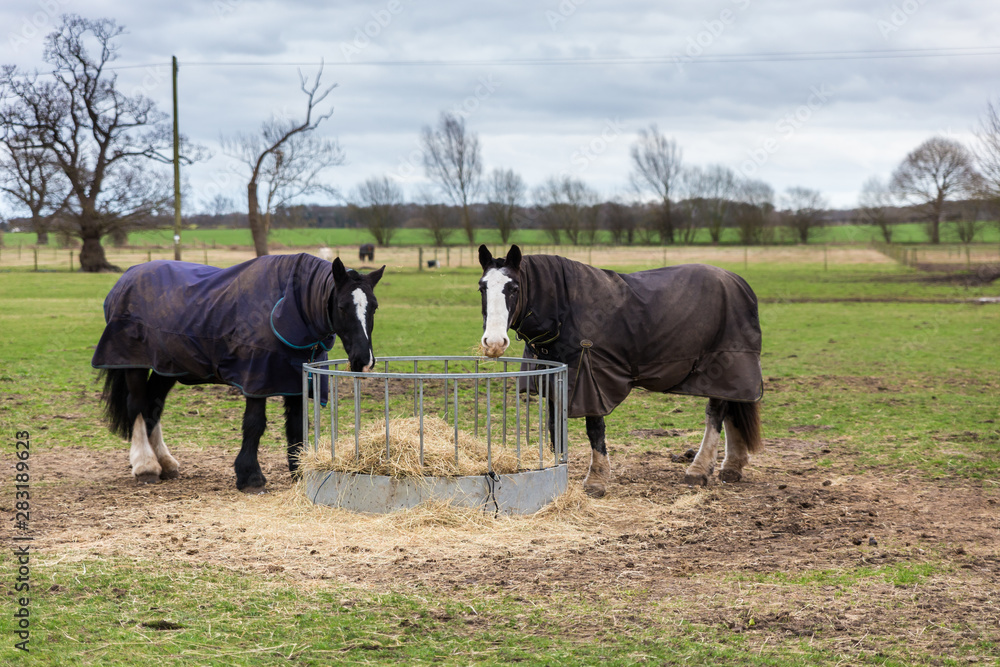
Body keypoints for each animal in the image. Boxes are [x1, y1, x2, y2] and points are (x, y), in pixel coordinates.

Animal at [93, 253, 384, 492]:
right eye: (342, 306)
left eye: (374, 306)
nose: (364, 361)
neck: (283, 307)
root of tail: (126, 278)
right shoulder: (256, 378)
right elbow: (254, 424)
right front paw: (250, 477)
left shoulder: (294, 382)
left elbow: (296, 424)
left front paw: (299, 472)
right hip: (134, 364)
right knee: (137, 406)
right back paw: (146, 466)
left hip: (167, 368)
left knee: (153, 406)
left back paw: (166, 463)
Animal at [477, 244, 763, 497]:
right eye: (482, 287)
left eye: (513, 288)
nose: (494, 342)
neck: (565, 308)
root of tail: (738, 282)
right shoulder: (555, 379)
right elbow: (554, 426)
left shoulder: (590, 378)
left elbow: (595, 429)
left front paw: (596, 480)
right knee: (733, 405)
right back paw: (732, 467)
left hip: (723, 365)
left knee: (716, 413)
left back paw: (699, 470)